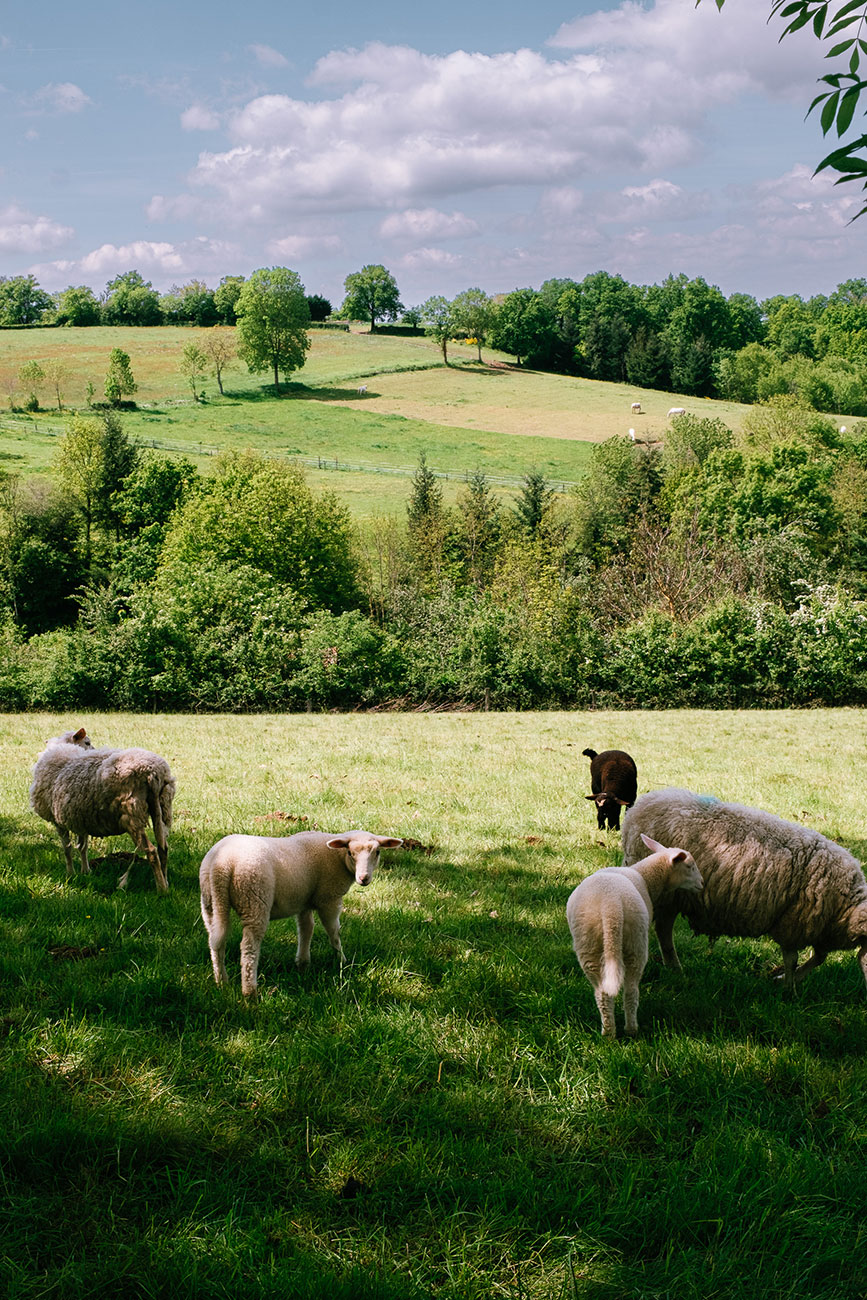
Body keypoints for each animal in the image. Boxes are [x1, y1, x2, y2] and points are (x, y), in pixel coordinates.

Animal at [30, 722, 176, 894]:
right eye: (87, 742)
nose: (93, 749)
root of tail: (152, 772)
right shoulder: (80, 818)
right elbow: (83, 847)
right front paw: (85, 871)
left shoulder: (58, 821)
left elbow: (67, 849)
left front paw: (70, 873)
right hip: (162, 806)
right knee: (163, 848)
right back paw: (165, 881)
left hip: (132, 813)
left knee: (151, 851)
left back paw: (161, 889)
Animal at [200, 826, 402, 998]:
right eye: (350, 853)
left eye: (377, 852)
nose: (364, 878)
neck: (336, 857)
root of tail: (222, 865)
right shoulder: (329, 899)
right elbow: (333, 932)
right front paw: (342, 962)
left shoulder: (304, 901)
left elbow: (306, 930)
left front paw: (303, 964)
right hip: (254, 898)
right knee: (249, 947)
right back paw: (250, 992)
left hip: (210, 901)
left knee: (216, 940)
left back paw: (222, 982)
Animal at [569, 837, 707, 1040]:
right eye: (690, 866)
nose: (702, 883)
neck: (645, 876)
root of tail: (611, 907)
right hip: (636, 940)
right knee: (631, 990)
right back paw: (631, 1030)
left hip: (590, 942)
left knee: (603, 992)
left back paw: (609, 1033)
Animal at [621, 785, 867, 987]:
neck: (848, 903)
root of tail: (639, 808)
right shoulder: (792, 923)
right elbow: (793, 959)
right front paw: (789, 989)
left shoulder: (821, 931)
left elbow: (818, 958)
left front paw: (785, 980)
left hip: (673, 898)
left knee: (663, 929)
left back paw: (675, 968)